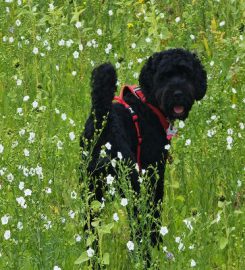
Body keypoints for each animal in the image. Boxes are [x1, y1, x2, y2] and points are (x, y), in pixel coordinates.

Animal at [82, 48, 207, 249]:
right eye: (164, 76)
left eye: (186, 74)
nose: (178, 93)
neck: (149, 103)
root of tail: (102, 121)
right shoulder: (154, 170)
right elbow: (155, 206)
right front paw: (157, 241)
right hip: (131, 183)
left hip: (91, 188)